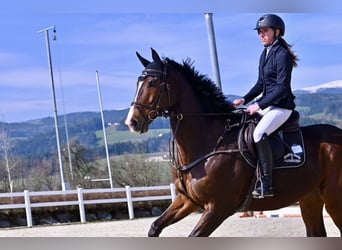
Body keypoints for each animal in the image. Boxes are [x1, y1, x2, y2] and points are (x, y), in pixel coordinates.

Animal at [124, 48, 342, 236]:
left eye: (152, 83)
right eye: (137, 83)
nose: (131, 123)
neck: (209, 142)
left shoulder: (218, 208)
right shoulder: (188, 200)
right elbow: (155, 226)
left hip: (333, 199)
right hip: (310, 197)